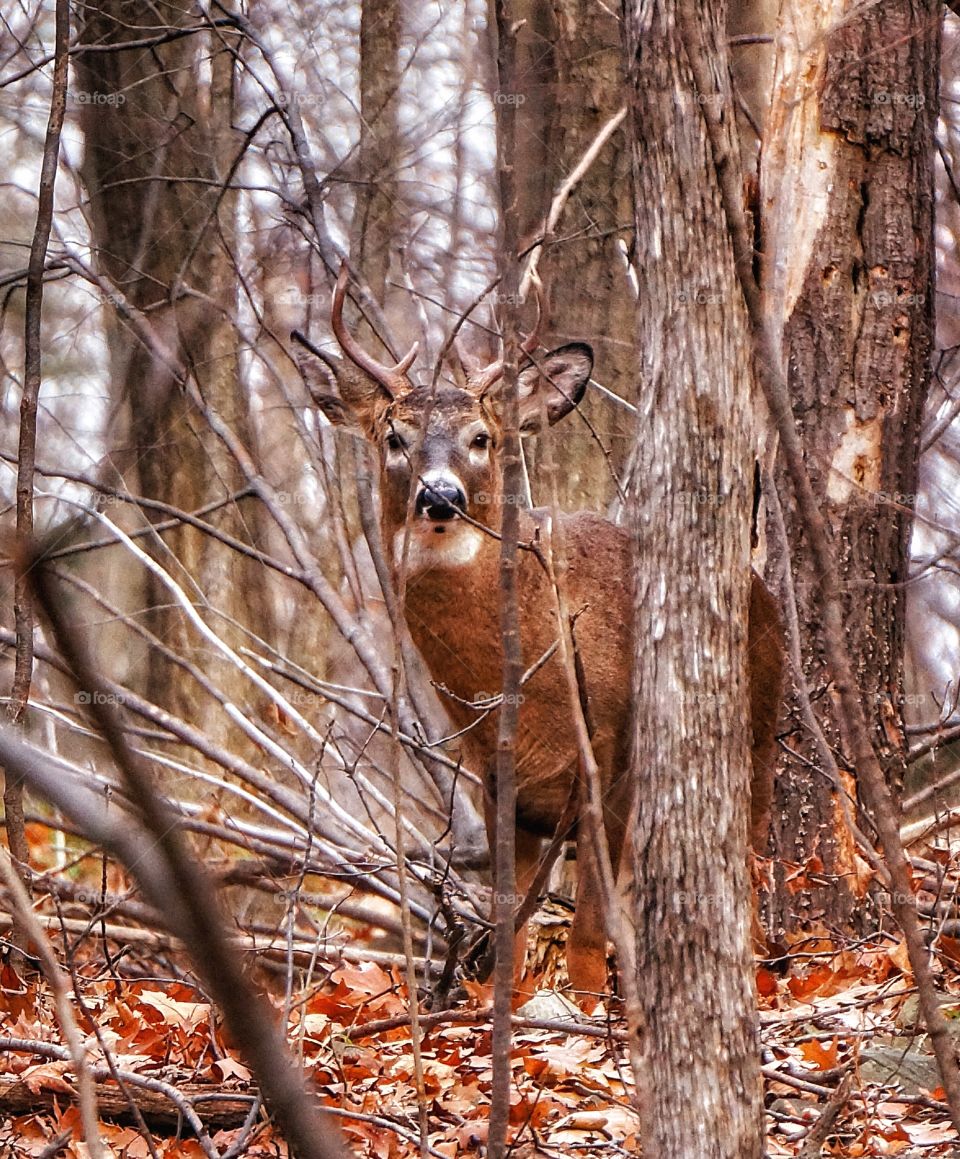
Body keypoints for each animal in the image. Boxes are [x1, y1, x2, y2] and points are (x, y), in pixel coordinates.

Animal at [310, 266, 783, 1010]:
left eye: (481, 436)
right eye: (394, 437)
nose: (439, 497)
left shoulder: (612, 762)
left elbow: (586, 933)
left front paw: (583, 1011)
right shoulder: (495, 782)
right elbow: (512, 924)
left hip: (756, 737)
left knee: (752, 862)